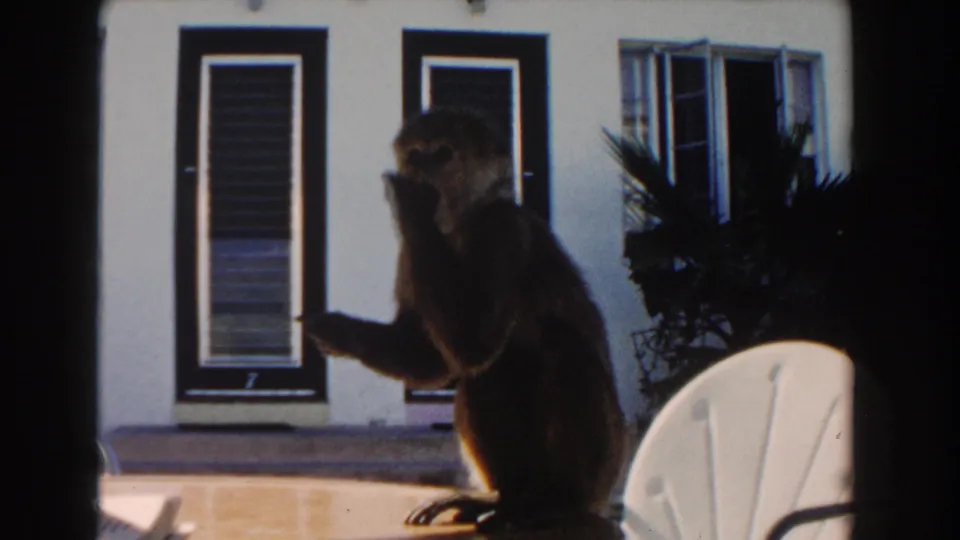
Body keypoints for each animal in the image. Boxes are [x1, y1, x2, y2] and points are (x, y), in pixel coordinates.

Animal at [299, 107, 626, 537]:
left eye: (441, 153)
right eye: (416, 153)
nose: (421, 169)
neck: (458, 227)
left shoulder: (503, 230)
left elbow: (473, 346)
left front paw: (414, 208)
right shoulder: (410, 255)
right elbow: (436, 359)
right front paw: (338, 332)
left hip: (600, 466)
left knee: (557, 347)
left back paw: (554, 505)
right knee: (489, 375)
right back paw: (501, 501)